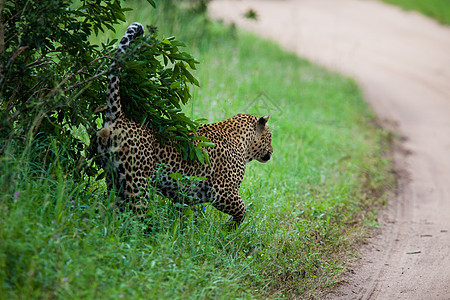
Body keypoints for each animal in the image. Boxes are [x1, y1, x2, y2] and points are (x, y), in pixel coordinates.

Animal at [96, 22, 272, 225]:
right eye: (270, 138)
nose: (272, 152)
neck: (243, 141)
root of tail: (119, 118)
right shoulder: (223, 191)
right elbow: (242, 210)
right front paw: (230, 227)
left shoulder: (189, 195)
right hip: (136, 183)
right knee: (133, 217)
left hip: (113, 178)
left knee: (111, 211)